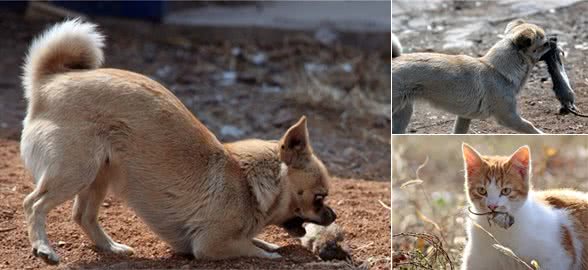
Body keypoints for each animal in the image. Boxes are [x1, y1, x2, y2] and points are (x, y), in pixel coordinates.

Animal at [20, 19, 336, 266]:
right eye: (319, 197)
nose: (333, 216)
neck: (248, 183)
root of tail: (49, 80)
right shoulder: (210, 244)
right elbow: (251, 247)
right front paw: (271, 253)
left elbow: (257, 240)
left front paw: (268, 243)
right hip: (76, 172)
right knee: (33, 204)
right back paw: (43, 248)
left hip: (100, 174)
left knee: (82, 215)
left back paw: (111, 247)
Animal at [392, 19, 552, 134]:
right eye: (545, 43)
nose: (554, 40)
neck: (497, 70)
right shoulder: (509, 117)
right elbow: (531, 127)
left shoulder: (464, 117)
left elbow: (458, 133)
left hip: (403, 112)